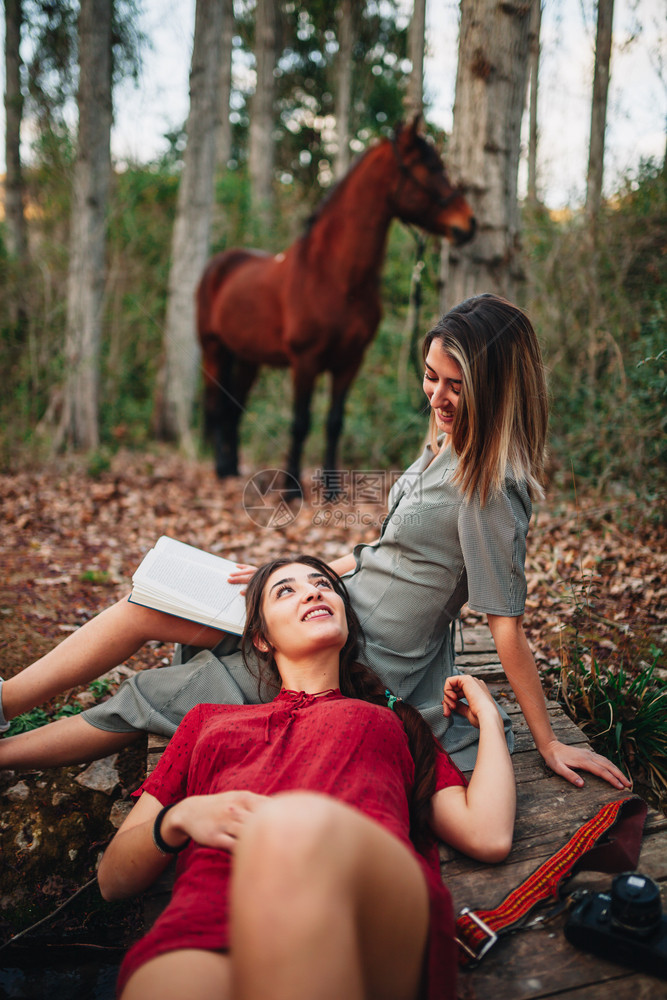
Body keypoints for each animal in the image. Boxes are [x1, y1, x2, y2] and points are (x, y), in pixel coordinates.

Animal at [198, 119, 474, 498]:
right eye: (430, 167)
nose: (469, 224)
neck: (335, 275)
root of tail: (219, 264)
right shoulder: (305, 361)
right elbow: (301, 423)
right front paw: (291, 488)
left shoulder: (350, 361)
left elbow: (334, 422)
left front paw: (331, 490)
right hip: (213, 348)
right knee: (215, 405)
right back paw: (222, 469)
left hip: (247, 359)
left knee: (232, 409)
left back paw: (233, 467)